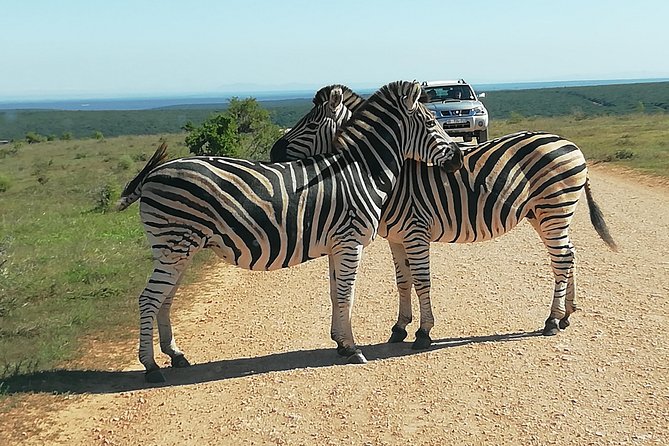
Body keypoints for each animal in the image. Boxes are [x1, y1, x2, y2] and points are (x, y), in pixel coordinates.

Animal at [116, 81, 464, 382]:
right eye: (431, 122)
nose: (458, 159)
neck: (362, 170)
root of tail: (153, 175)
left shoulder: (337, 244)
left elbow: (336, 294)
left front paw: (340, 343)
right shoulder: (350, 241)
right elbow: (346, 295)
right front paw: (353, 349)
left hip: (177, 249)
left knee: (165, 298)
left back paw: (175, 355)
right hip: (175, 245)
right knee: (149, 299)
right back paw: (151, 367)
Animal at [270, 85, 617, 349]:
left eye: (311, 125)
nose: (273, 153)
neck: (388, 171)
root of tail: (570, 144)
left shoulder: (415, 231)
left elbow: (422, 281)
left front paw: (423, 333)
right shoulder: (396, 237)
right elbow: (403, 282)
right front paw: (399, 328)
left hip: (553, 208)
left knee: (562, 259)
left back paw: (552, 321)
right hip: (544, 213)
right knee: (569, 255)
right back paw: (567, 314)